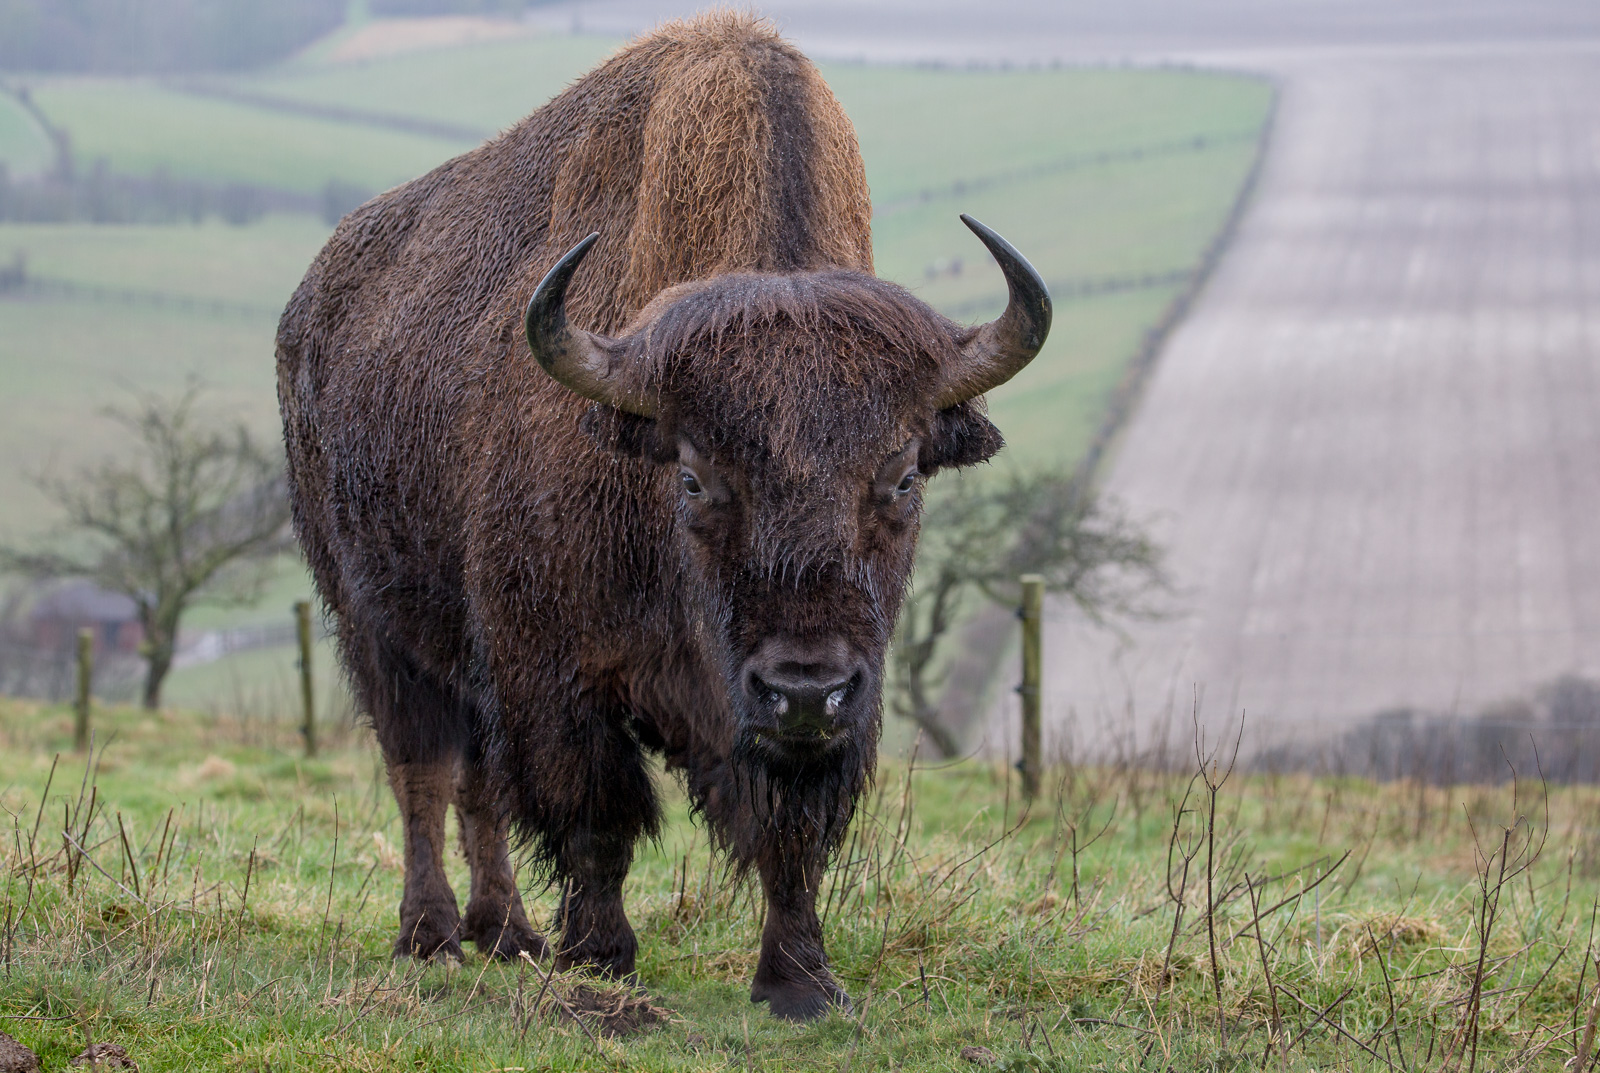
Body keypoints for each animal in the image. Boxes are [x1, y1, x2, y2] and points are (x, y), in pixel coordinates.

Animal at [277, 12, 1050, 1020]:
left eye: (904, 475)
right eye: (692, 475)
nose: (805, 688)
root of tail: (309, 308)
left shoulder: (827, 715)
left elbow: (791, 835)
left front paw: (802, 982)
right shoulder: (557, 673)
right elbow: (595, 818)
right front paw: (601, 956)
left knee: (478, 784)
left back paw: (506, 932)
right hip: (377, 627)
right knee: (425, 772)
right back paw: (434, 935)